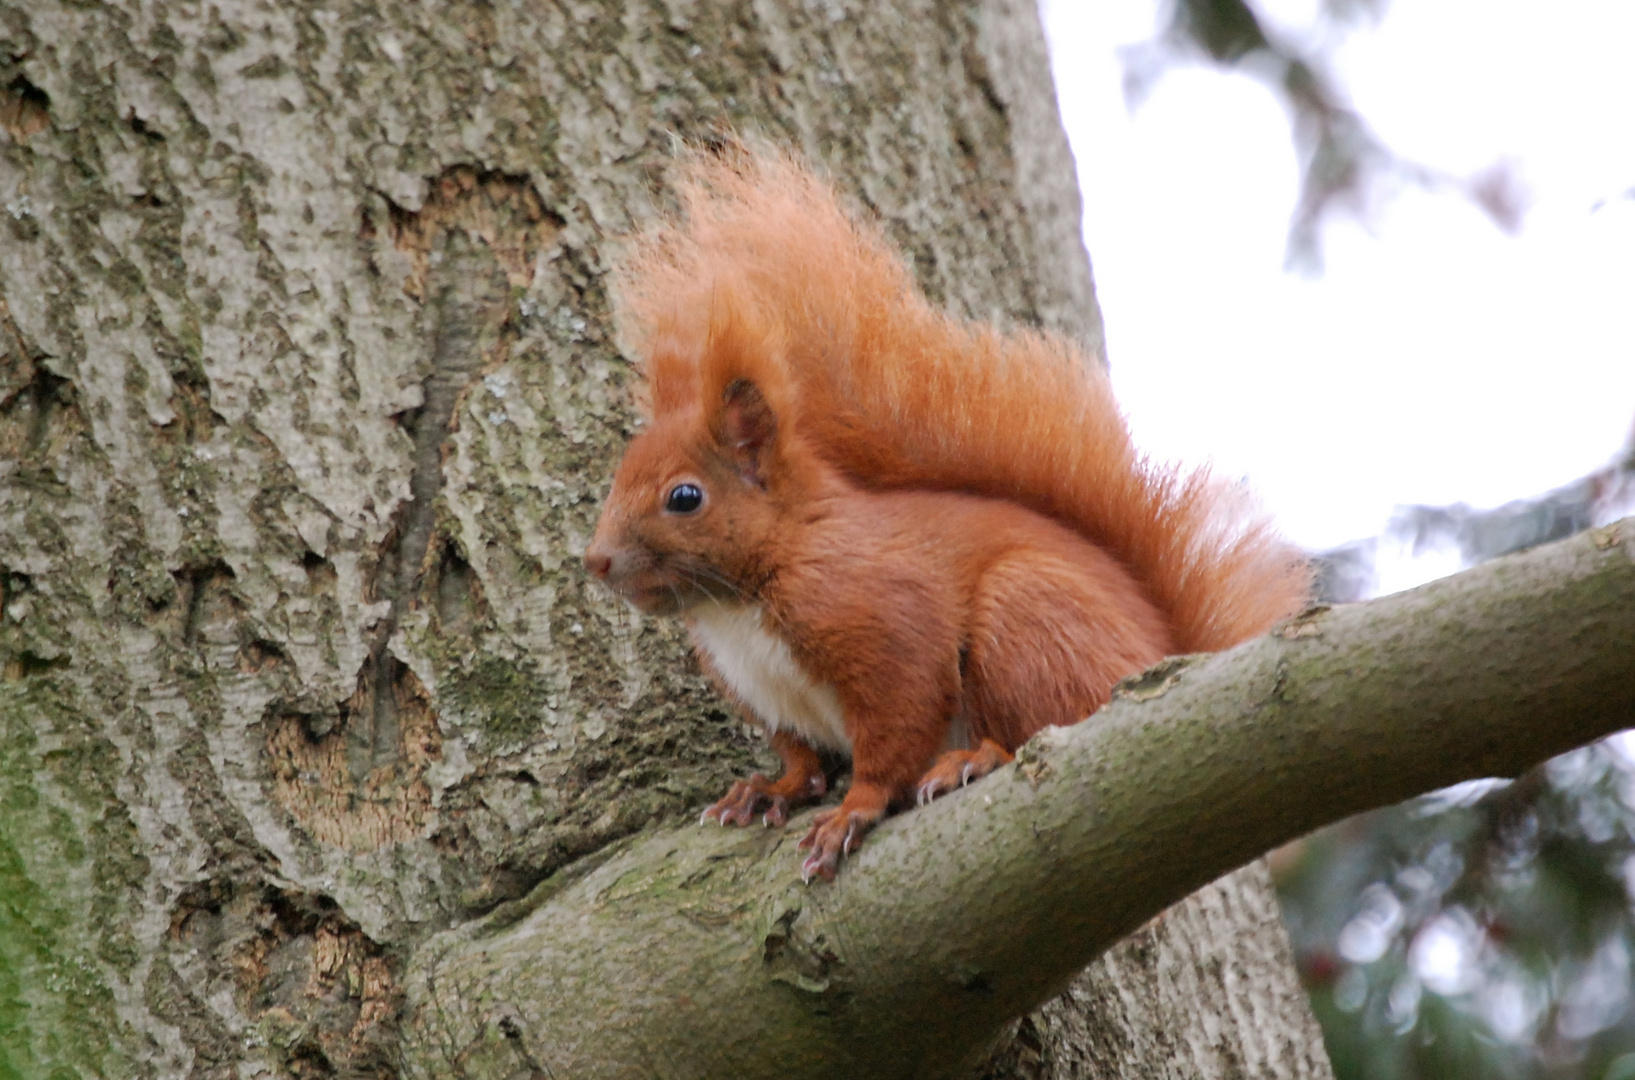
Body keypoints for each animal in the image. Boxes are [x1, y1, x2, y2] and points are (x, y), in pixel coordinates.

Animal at [582, 147, 1308, 882]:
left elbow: (897, 727)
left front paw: (852, 811)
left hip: (1031, 620)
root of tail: (1168, 650)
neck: (740, 600)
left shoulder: (880, 622)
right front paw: (767, 790)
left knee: (1057, 726)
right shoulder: (762, 693)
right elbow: (800, 758)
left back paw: (976, 758)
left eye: (684, 498)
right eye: (616, 477)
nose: (595, 561)